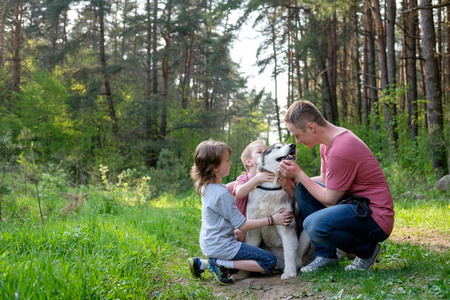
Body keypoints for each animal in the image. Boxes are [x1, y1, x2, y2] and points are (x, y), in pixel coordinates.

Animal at [239, 142, 312, 278]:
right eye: (278, 147)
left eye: (286, 144)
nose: (293, 145)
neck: (271, 188)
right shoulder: (253, 229)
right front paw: (241, 274)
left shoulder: (287, 225)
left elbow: (289, 251)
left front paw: (289, 272)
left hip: (305, 235)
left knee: (297, 259)